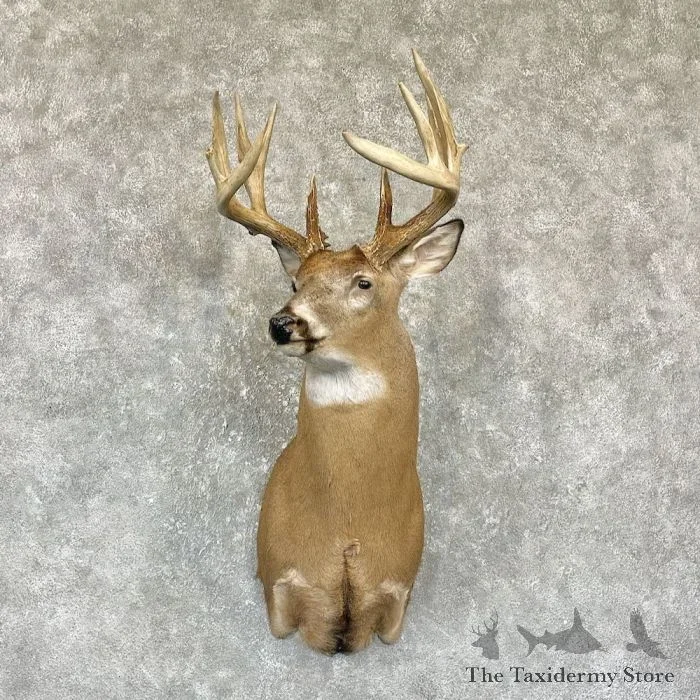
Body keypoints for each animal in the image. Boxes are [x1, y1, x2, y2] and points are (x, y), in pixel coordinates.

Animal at [205, 50, 467, 654]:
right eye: (296, 280)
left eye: (363, 283)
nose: (282, 323)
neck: (347, 528)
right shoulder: (279, 583)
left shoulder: (397, 597)